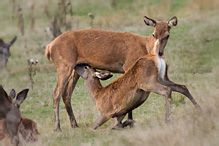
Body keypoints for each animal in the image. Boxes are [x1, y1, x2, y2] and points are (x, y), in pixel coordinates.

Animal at [45, 15, 178, 131]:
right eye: (153, 34)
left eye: (167, 35)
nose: (160, 52)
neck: (145, 46)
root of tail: (49, 47)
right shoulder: (129, 64)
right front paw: (129, 123)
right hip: (63, 66)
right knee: (56, 93)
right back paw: (57, 128)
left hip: (75, 69)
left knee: (66, 94)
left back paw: (75, 125)